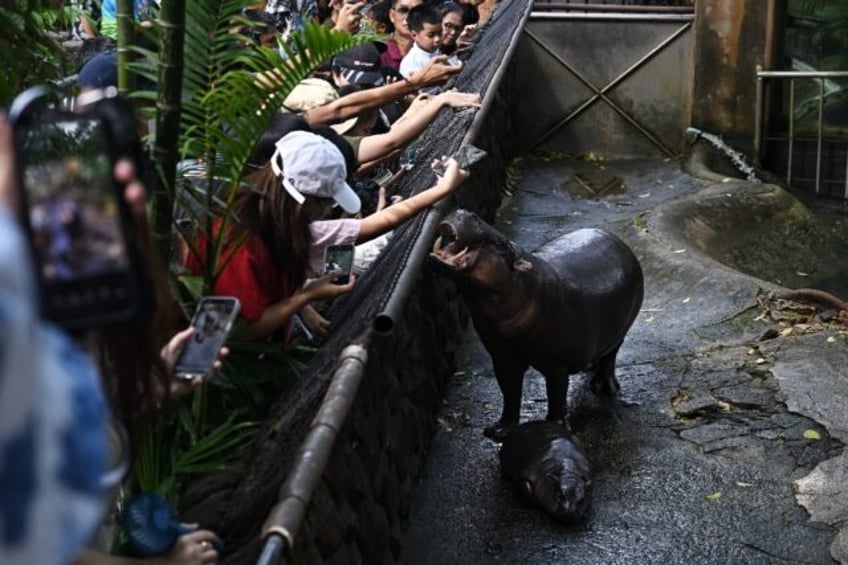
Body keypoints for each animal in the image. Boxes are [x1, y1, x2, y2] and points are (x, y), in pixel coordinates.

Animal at [430, 209, 644, 438]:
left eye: (501, 244)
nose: (464, 212)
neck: (522, 285)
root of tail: (619, 242)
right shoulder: (503, 357)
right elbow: (510, 392)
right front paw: (499, 429)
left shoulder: (557, 363)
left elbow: (556, 395)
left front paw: (556, 426)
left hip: (621, 330)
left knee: (610, 356)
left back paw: (604, 387)